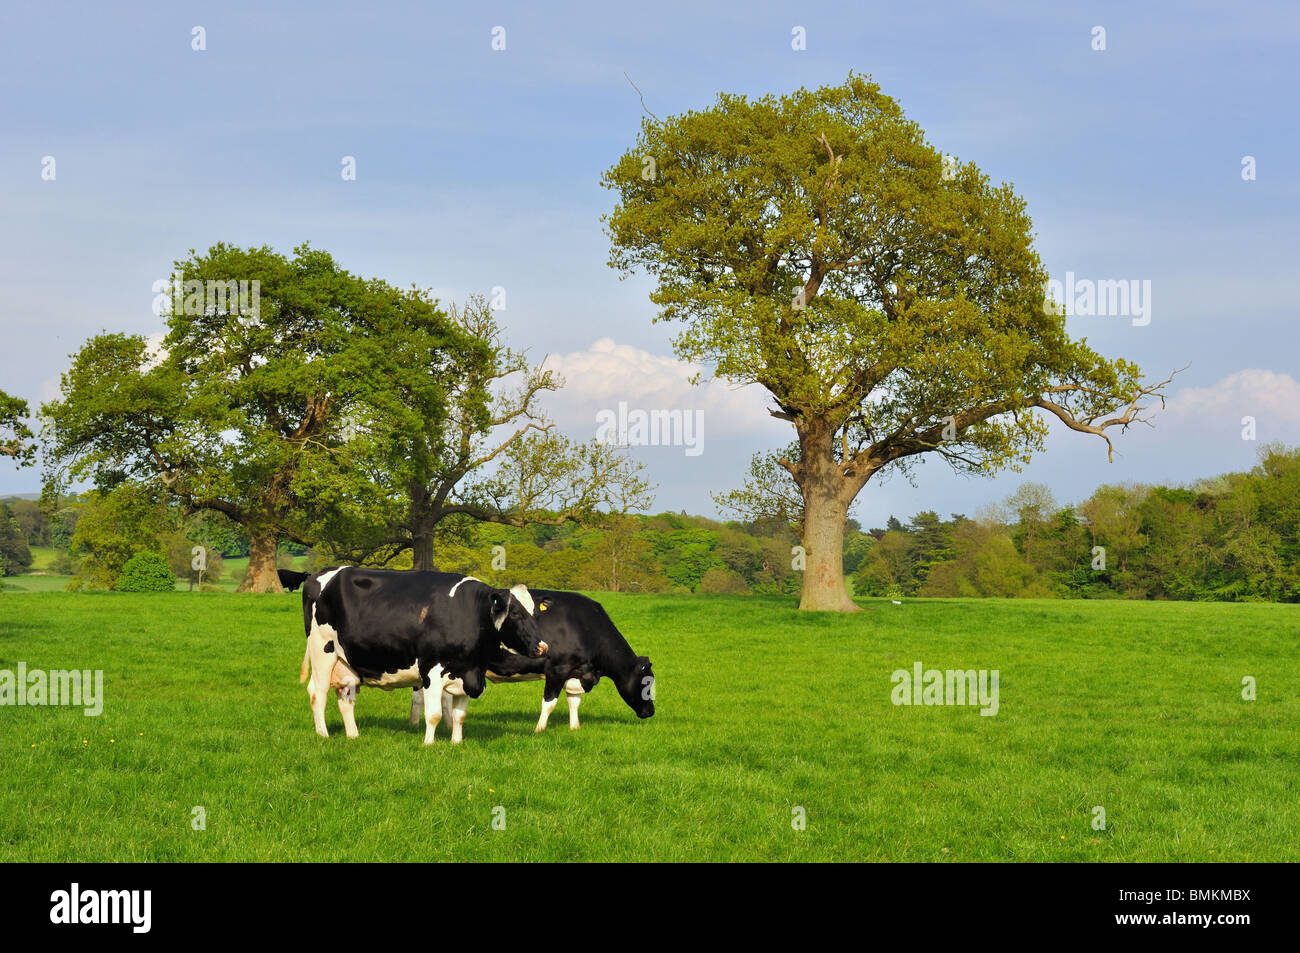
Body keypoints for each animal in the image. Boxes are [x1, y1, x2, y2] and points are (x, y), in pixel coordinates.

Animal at [297, 564, 543, 743]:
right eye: (515, 612)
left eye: (533, 611)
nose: (542, 647)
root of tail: (320, 574)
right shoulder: (431, 670)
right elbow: (433, 714)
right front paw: (429, 744)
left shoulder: (468, 671)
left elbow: (459, 716)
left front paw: (456, 742)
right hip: (322, 651)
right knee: (317, 692)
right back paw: (323, 734)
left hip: (346, 662)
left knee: (346, 698)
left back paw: (353, 735)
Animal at [416, 587, 655, 743]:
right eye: (647, 683)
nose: (651, 712)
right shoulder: (557, 669)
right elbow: (549, 702)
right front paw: (539, 730)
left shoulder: (577, 672)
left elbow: (574, 701)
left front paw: (574, 727)